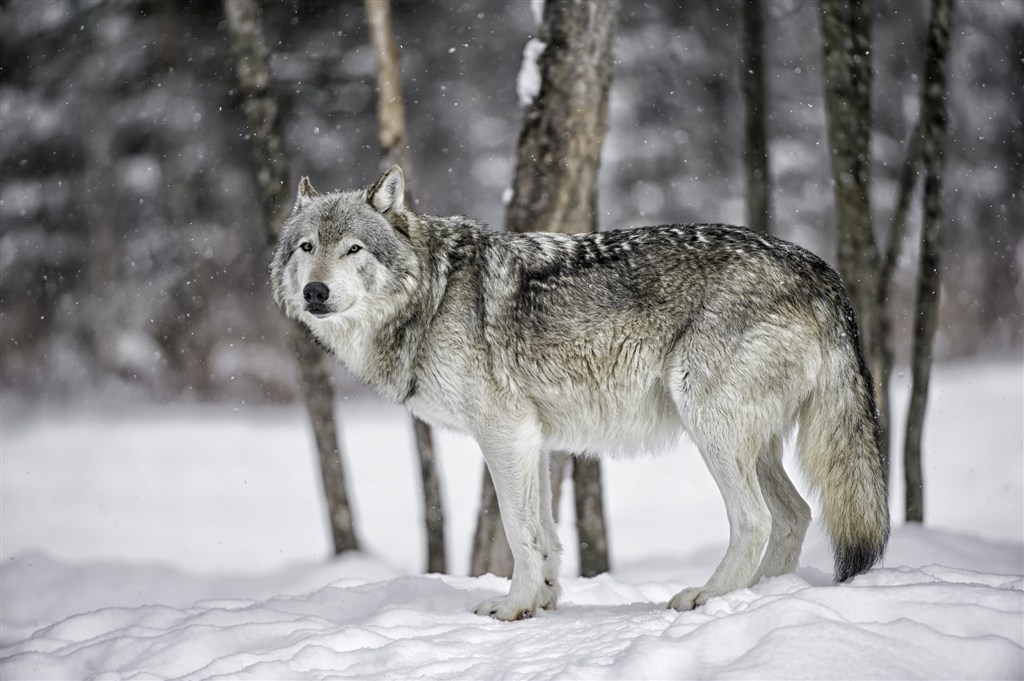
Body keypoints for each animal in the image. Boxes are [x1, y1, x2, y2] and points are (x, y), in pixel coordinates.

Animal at [270, 165, 888, 622]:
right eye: (306, 246)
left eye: (353, 249)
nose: (315, 291)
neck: (434, 294)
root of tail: (821, 270)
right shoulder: (533, 440)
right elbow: (544, 532)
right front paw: (542, 602)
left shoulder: (504, 433)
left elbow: (518, 531)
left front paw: (513, 608)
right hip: (752, 444)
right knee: (796, 514)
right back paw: (760, 596)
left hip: (711, 427)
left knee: (756, 519)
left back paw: (708, 599)